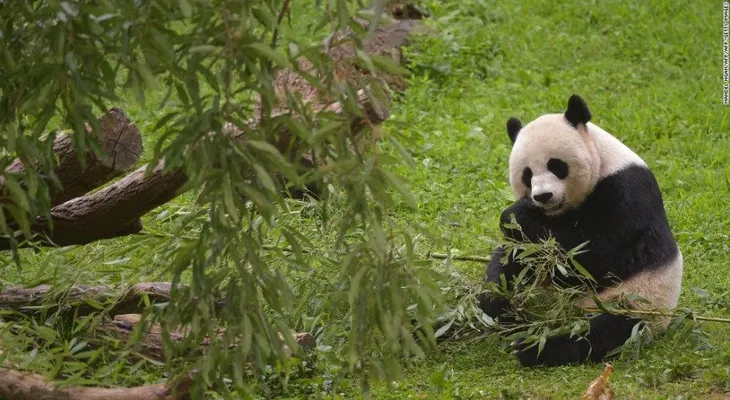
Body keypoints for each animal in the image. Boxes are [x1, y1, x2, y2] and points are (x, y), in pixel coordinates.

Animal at [478, 94, 683, 367]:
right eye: (527, 174)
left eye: (556, 165)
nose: (543, 196)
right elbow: (518, 255)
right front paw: (496, 299)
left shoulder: (626, 193)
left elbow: (597, 256)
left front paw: (516, 214)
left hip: (637, 301)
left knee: (601, 333)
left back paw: (534, 346)